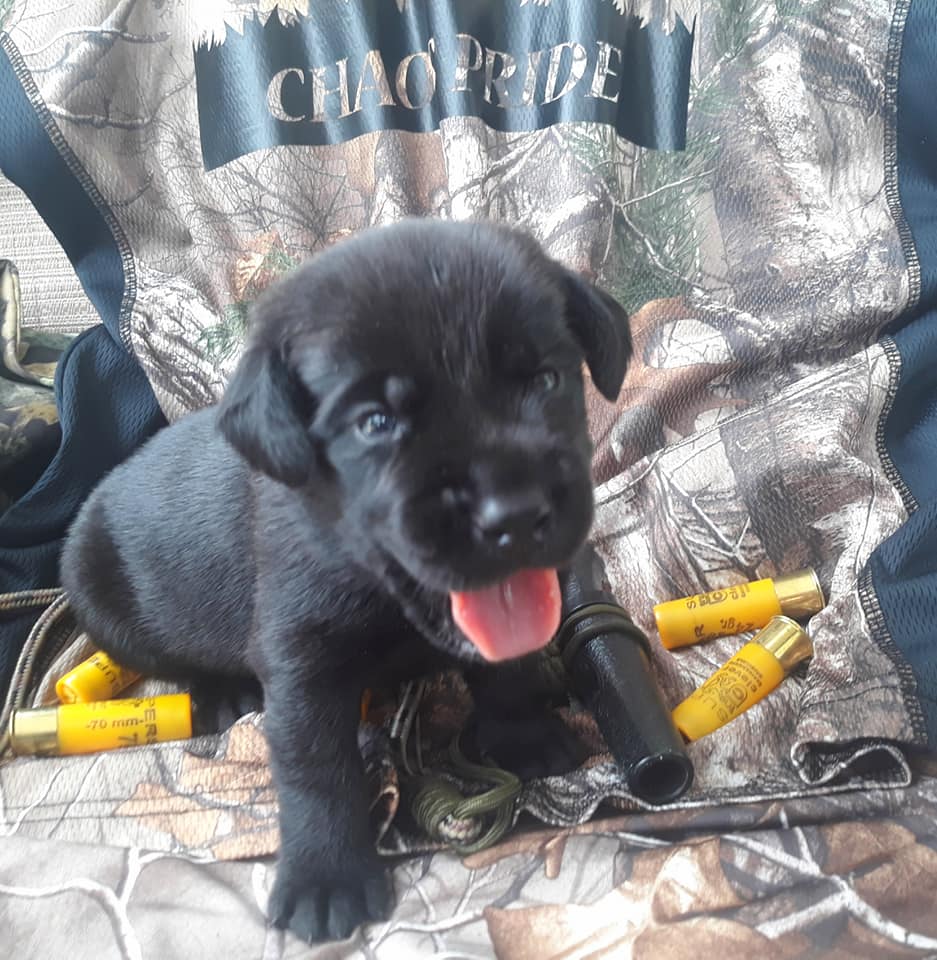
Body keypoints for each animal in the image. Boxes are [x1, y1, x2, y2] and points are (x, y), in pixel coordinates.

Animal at [58, 219, 628, 944]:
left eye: (547, 379)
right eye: (374, 423)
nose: (516, 513)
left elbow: (508, 671)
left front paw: (523, 735)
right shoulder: (302, 664)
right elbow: (316, 769)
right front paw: (325, 875)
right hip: (97, 595)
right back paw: (220, 693)